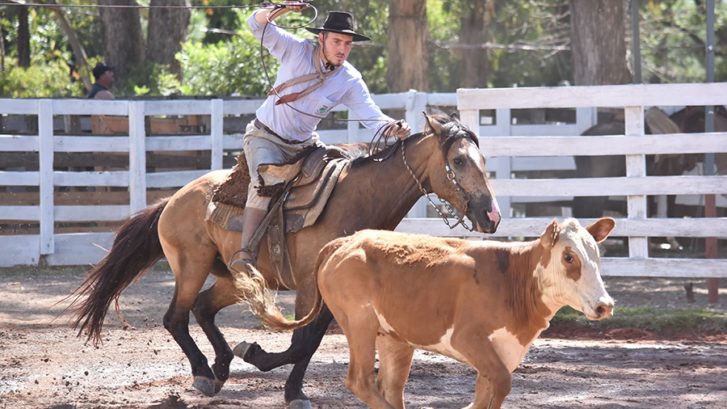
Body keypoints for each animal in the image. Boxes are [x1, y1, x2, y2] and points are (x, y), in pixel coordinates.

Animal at [68, 112, 500, 408]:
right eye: (459, 161)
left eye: (483, 160)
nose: (491, 215)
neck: (357, 200)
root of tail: (173, 199)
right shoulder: (310, 287)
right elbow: (301, 340)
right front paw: (261, 359)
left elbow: (309, 342)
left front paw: (286, 384)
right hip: (191, 266)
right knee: (176, 316)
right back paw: (204, 373)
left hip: (237, 279)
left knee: (204, 308)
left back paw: (221, 366)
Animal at [312, 218, 616, 408]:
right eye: (568, 257)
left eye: (597, 255)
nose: (605, 305)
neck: (512, 277)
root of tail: (345, 242)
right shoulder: (468, 339)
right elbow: (501, 383)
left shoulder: (502, 351)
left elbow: (486, 393)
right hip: (358, 322)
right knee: (360, 381)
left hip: (393, 338)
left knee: (391, 387)